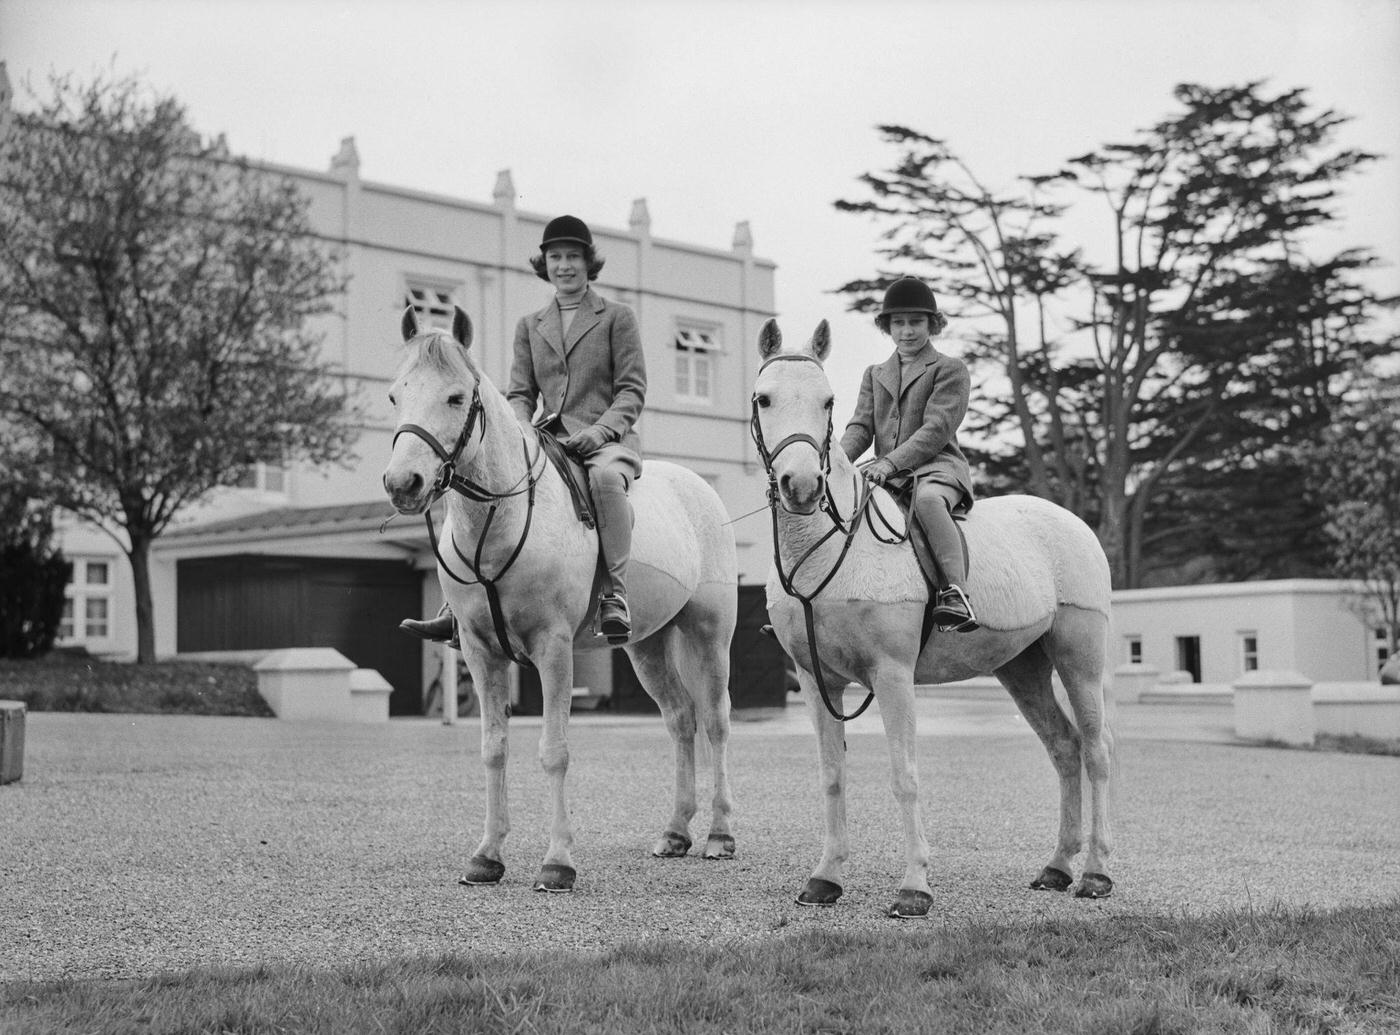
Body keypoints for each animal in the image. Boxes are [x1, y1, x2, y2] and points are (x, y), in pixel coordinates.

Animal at [378, 305, 739, 890]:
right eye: (394, 396)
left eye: (455, 397)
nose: (402, 483)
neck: (498, 521)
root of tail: (700, 487)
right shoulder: (480, 651)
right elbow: (493, 749)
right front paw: (487, 855)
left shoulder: (552, 648)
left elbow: (554, 752)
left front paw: (558, 862)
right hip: (646, 645)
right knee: (681, 720)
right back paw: (675, 832)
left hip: (709, 635)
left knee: (715, 721)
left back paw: (720, 835)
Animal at [756, 319, 1114, 918]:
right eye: (764, 398)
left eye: (827, 401)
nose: (801, 487)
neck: (830, 549)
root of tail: (1071, 521)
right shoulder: (814, 680)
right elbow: (832, 777)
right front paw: (826, 879)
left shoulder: (893, 675)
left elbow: (905, 776)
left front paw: (915, 888)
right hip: (1022, 668)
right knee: (1063, 748)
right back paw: (1057, 869)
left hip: (1079, 659)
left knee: (1096, 750)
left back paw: (1095, 874)